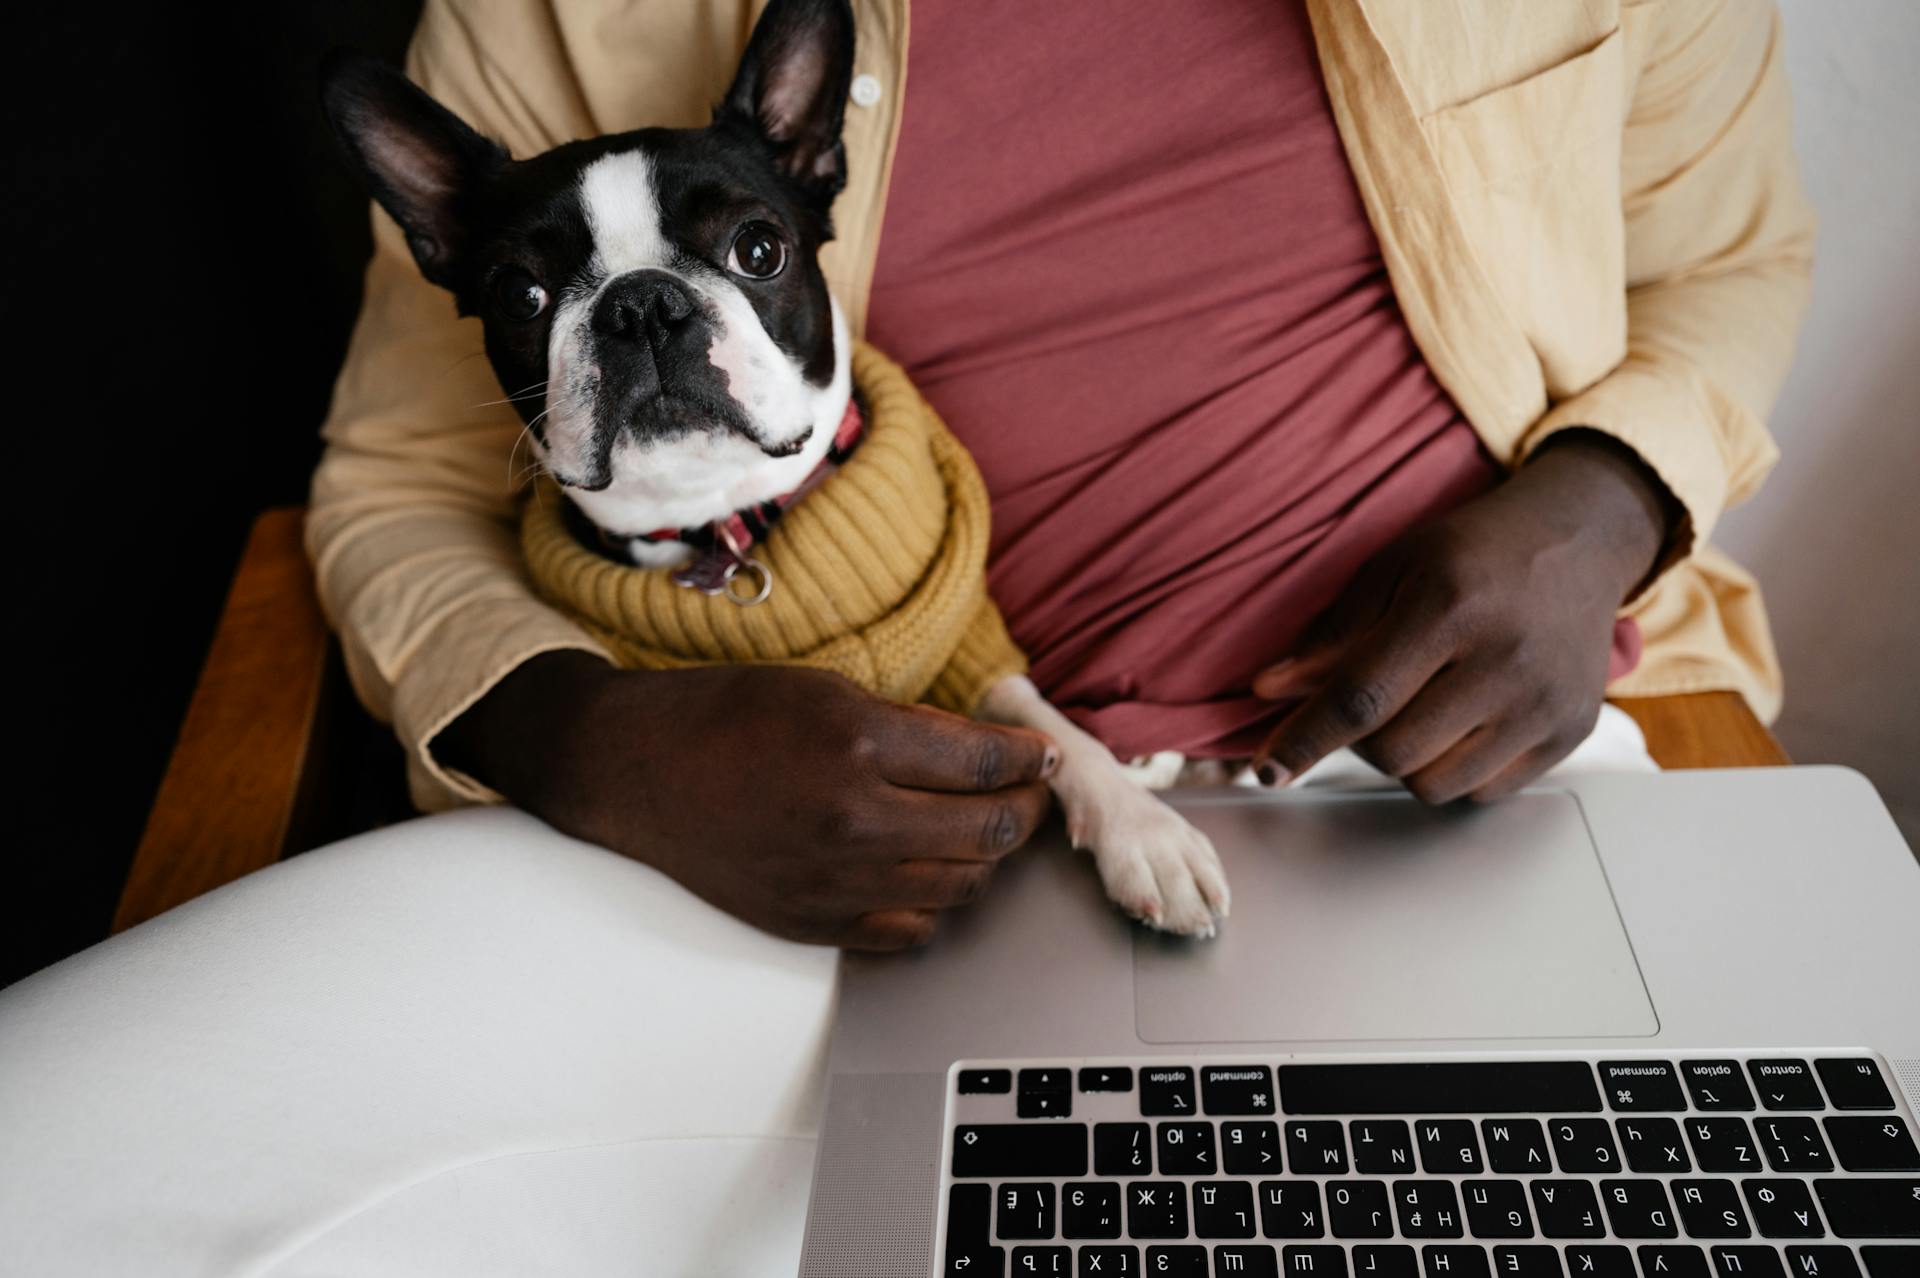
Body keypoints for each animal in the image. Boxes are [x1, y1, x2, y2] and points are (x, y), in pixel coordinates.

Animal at [318, 0, 1228, 936]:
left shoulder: (968, 638)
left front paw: (1142, 827)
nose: (640, 304)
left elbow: (1044, 722)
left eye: (759, 250)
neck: (720, 513)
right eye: (519, 296)